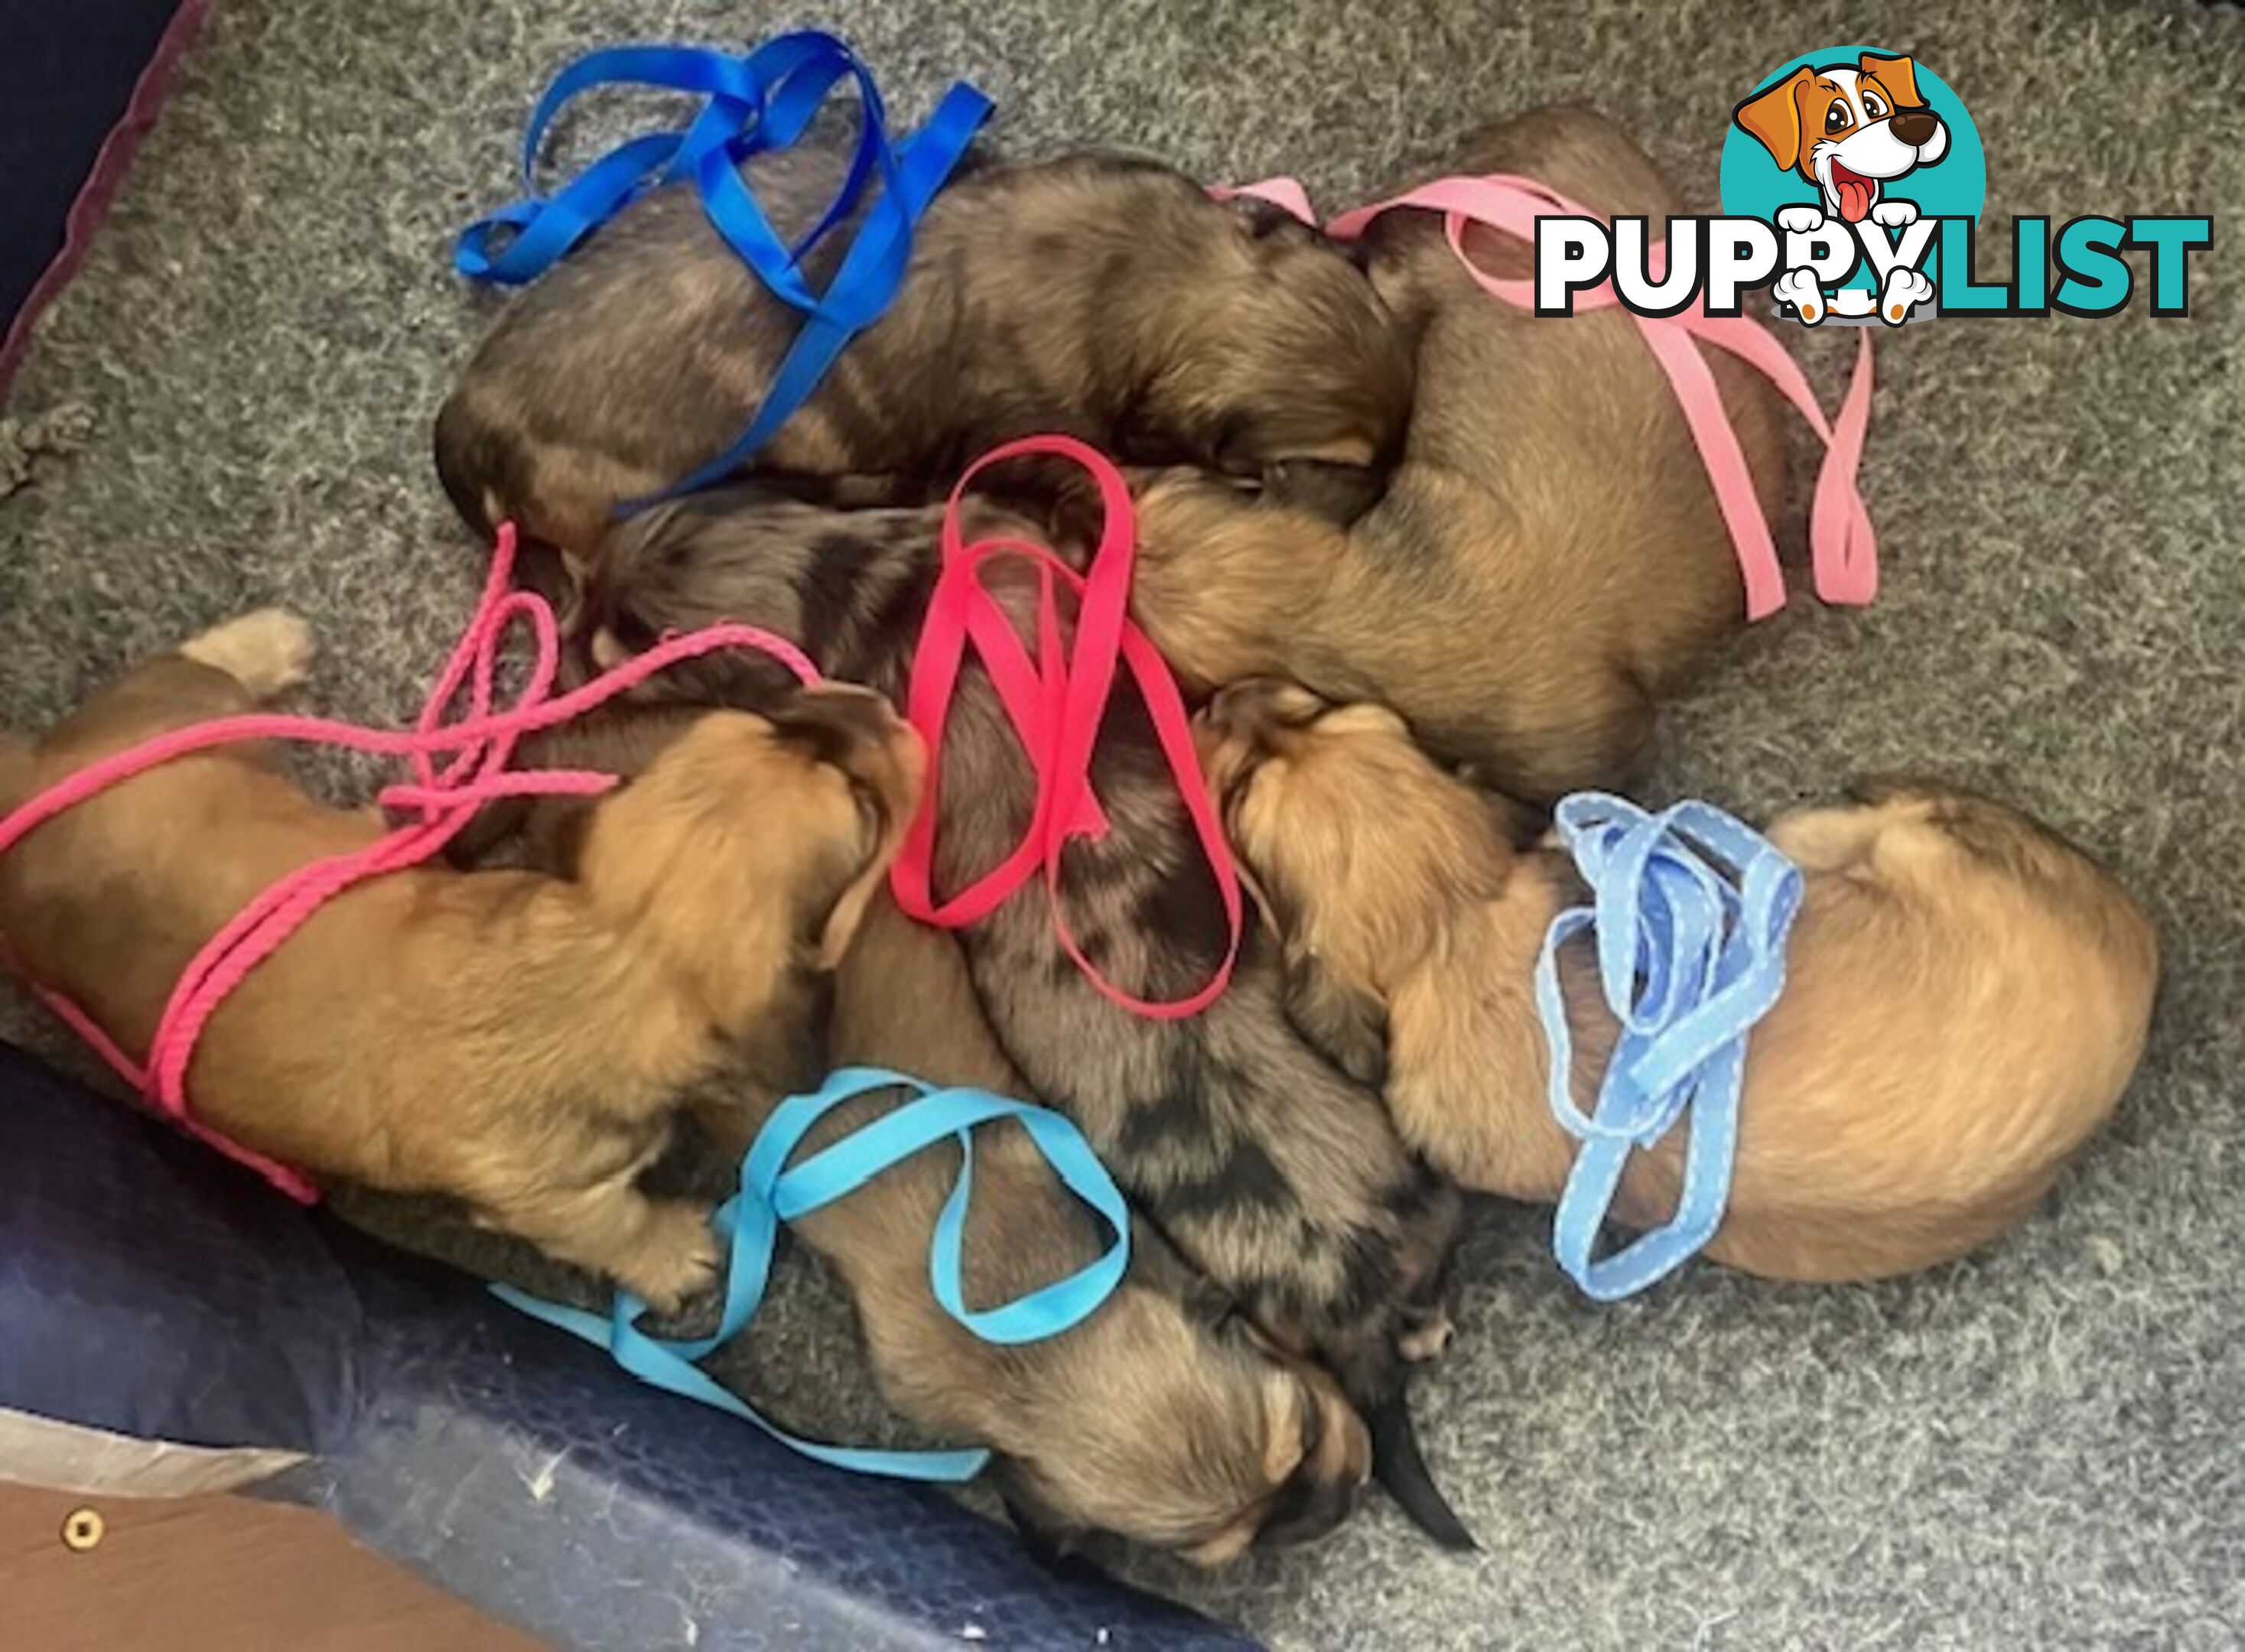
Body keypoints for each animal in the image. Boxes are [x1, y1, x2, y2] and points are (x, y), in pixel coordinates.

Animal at [0, 606, 920, 1302]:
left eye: (764, 726)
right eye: (858, 805)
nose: (873, 708)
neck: (608, 957)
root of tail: (29, 773)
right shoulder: (559, 1201)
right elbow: (616, 1225)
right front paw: (673, 1254)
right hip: (179, 711)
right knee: (189, 665)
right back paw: (267, 642)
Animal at [1203, 678, 2164, 1283]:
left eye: (1239, 794)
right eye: (1316, 706)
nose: (1216, 697)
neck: (1450, 931)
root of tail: (2141, 945)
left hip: (1864, 846)